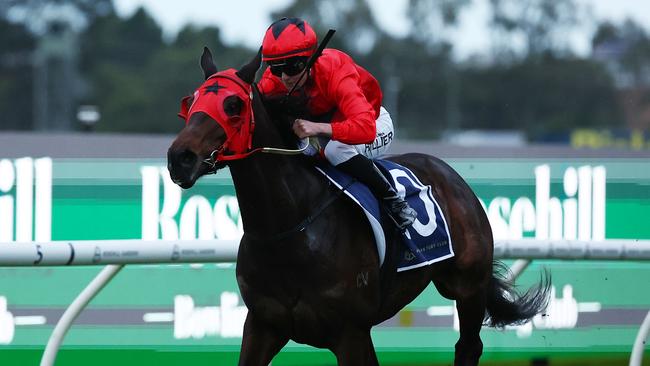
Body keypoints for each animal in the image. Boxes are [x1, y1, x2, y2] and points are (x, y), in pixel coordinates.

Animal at [167, 48, 548, 366]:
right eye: (192, 101)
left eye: (233, 105)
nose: (179, 158)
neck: (289, 229)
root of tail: (451, 175)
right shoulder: (262, 325)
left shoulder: (350, 333)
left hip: (467, 286)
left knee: (468, 347)